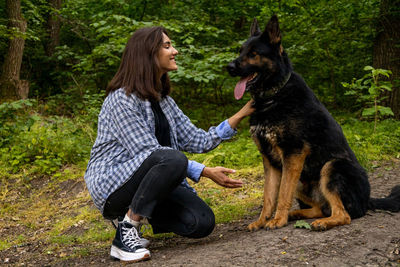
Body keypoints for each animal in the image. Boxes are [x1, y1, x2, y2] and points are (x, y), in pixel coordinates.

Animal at [228, 15, 400, 232]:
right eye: (240, 51)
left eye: (253, 53)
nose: (229, 67)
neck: (274, 95)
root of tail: (367, 200)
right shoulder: (270, 161)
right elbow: (268, 196)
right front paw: (262, 220)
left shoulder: (293, 154)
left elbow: (282, 194)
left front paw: (277, 220)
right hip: (301, 179)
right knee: (322, 208)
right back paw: (297, 214)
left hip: (331, 166)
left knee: (343, 214)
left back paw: (321, 223)